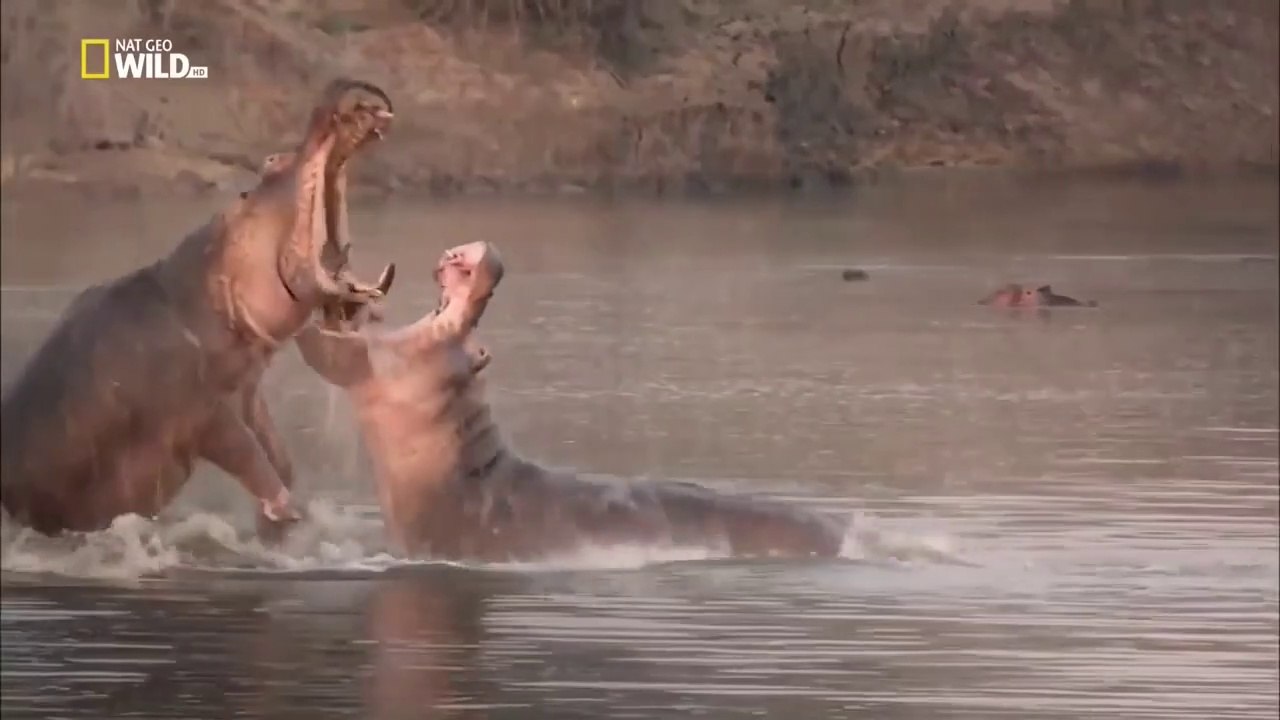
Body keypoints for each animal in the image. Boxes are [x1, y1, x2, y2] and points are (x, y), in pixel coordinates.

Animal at [0, 79, 395, 537]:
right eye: (271, 163)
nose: (343, 89)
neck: (205, 285)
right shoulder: (202, 412)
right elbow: (251, 458)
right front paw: (287, 513)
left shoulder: (247, 391)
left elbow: (278, 456)